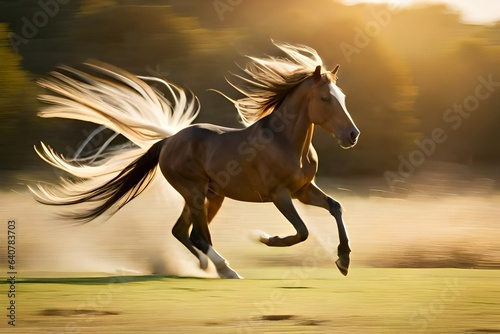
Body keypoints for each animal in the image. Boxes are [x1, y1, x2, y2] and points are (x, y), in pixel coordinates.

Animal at [30, 41, 360, 280]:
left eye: (343, 97)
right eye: (325, 99)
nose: (352, 135)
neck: (287, 143)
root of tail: (169, 141)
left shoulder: (303, 190)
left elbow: (336, 207)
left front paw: (343, 260)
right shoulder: (279, 194)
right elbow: (302, 231)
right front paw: (266, 238)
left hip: (210, 196)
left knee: (183, 232)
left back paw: (205, 267)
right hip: (195, 192)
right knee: (198, 236)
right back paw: (225, 269)